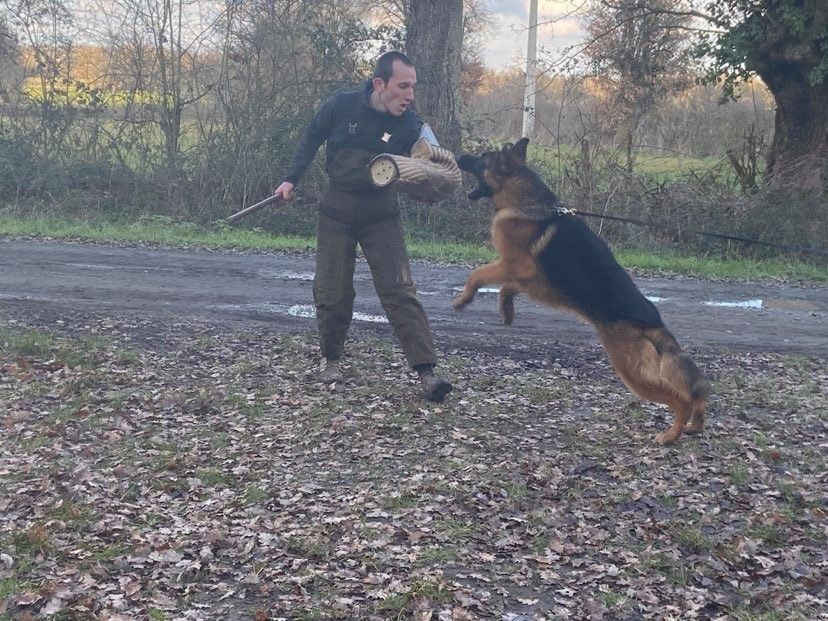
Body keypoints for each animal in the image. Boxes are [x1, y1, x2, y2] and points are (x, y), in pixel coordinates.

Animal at [456, 138, 708, 444]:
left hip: (632, 371)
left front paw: (463, 298)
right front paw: (506, 309)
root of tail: (653, 321)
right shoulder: (532, 279)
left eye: (481, 159)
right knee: (695, 391)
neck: (525, 201)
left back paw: (671, 434)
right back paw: (695, 423)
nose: (458, 156)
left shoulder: (516, 265)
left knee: (681, 398)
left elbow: (478, 274)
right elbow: (507, 287)